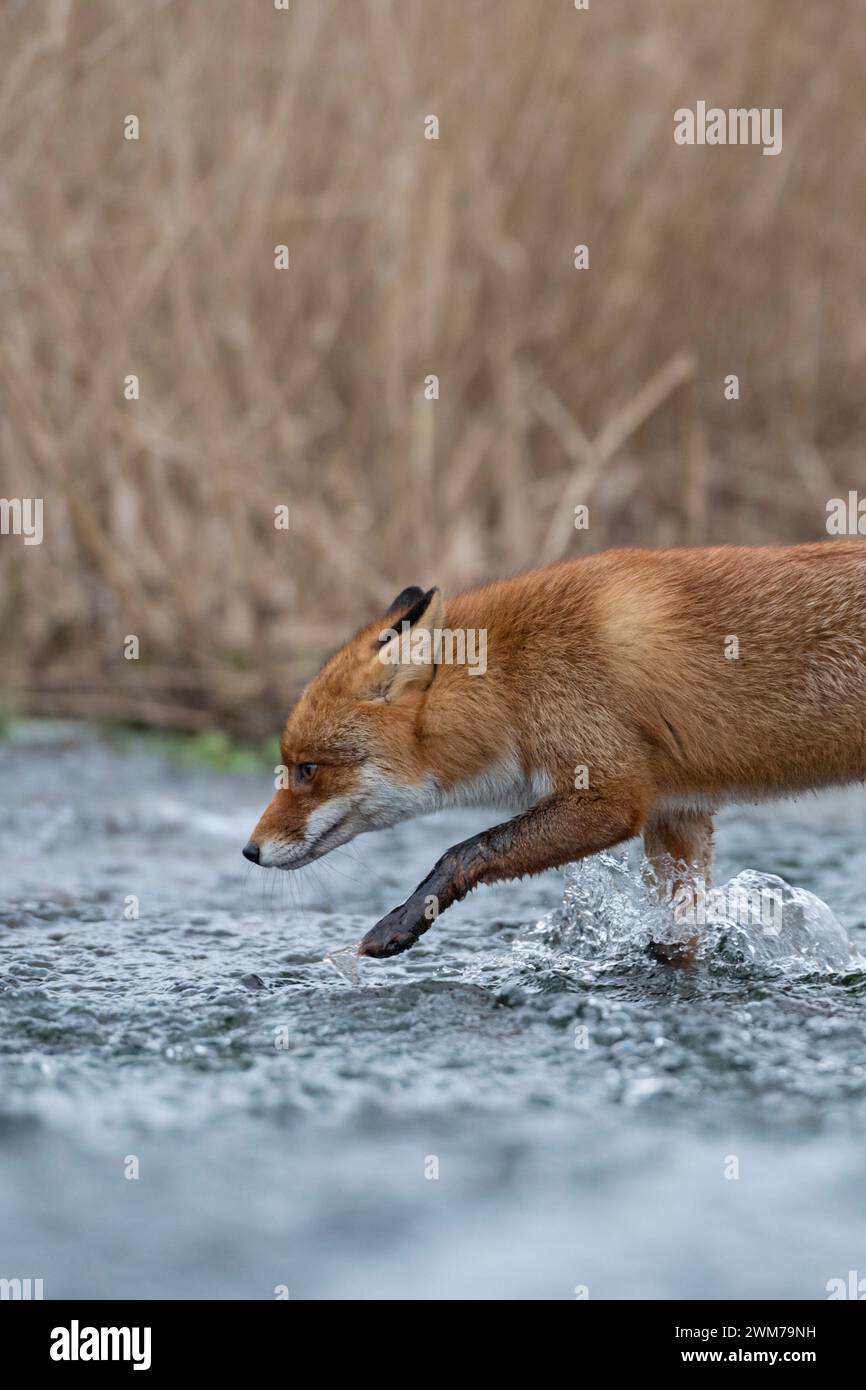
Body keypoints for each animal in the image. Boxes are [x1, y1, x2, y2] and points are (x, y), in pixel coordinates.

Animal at [241, 544, 866, 967]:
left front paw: (402, 921)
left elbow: (465, 850)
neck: (512, 682)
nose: (249, 851)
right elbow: (677, 935)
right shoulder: (677, 813)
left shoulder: (613, 797)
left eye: (308, 769)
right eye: (291, 765)